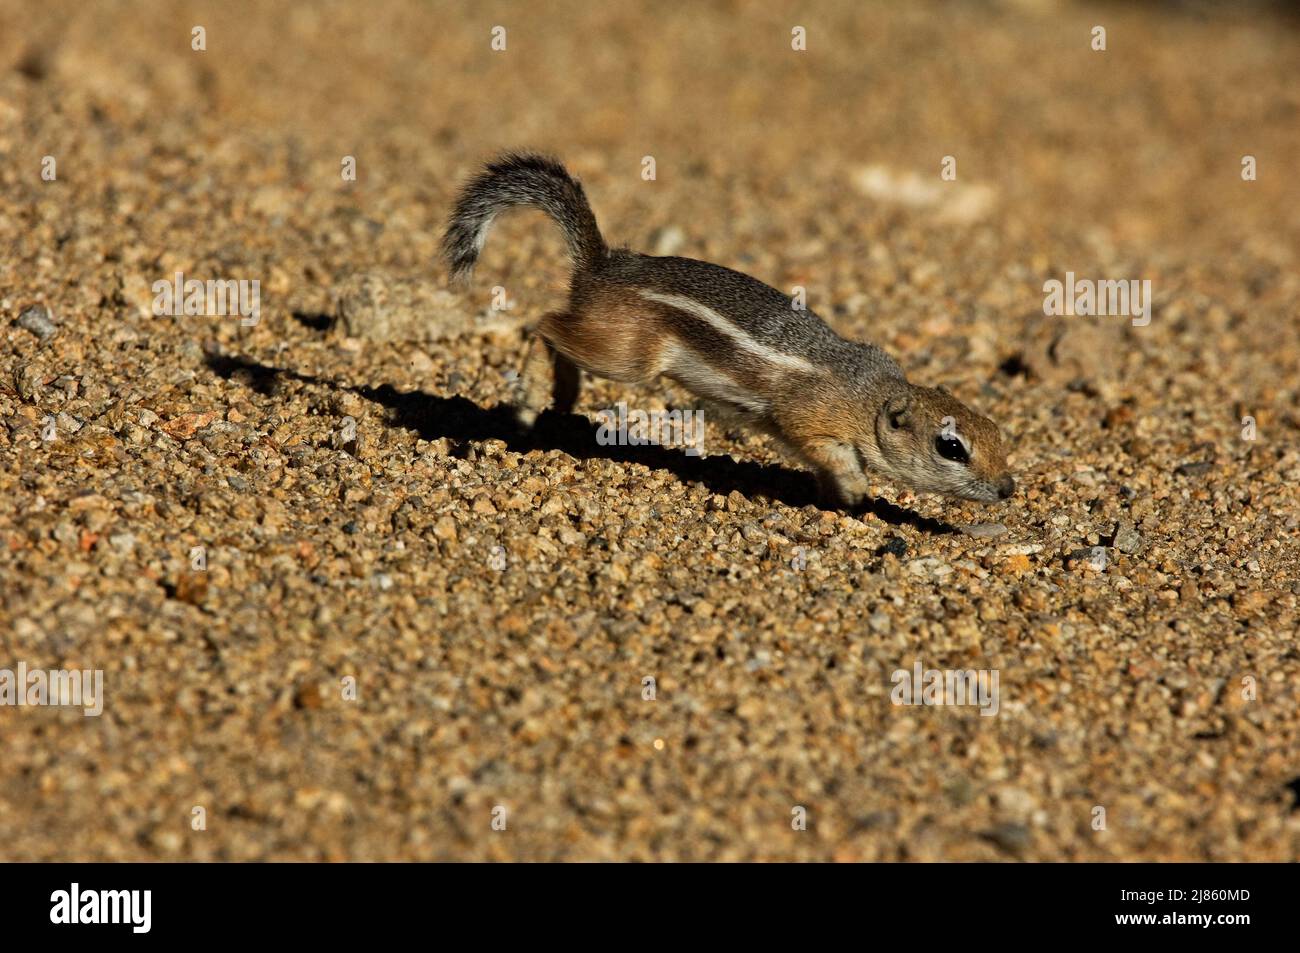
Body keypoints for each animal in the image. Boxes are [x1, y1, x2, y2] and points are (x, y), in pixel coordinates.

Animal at [442, 153, 1015, 506]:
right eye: (951, 448)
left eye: (998, 433)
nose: (1008, 488)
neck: (868, 397)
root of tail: (602, 265)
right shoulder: (807, 418)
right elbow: (830, 452)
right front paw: (854, 489)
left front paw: (836, 497)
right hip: (627, 359)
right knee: (545, 324)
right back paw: (532, 398)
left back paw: (560, 395)